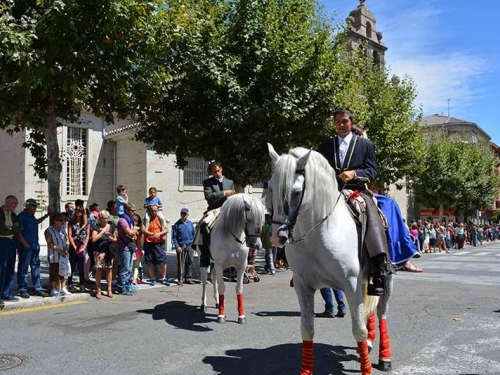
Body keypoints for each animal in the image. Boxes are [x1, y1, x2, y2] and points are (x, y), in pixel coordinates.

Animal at [197, 195, 266, 324]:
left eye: (262, 220)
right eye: (249, 219)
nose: (256, 245)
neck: (232, 238)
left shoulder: (241, 266)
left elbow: (239, 288)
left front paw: (241, 316)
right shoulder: (219, 265)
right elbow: (222, 287)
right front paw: (221, 316)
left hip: (215, 264)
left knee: (213, 277)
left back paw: (217, 302)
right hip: (204, 261)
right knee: (204, 281)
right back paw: (204, 304)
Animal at [268, 145, 392, 375]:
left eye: (296, 192)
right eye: (270, 188)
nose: (276, 237)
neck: (318, 234)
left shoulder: (351, 284)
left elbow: (358, 329)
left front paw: (366, 368)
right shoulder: (303, 286)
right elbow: (307, 329)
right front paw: (306, 370)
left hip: (387, 279)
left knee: (381, 313)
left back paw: (385, 357)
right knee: (371, 311)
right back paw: (370, 344)